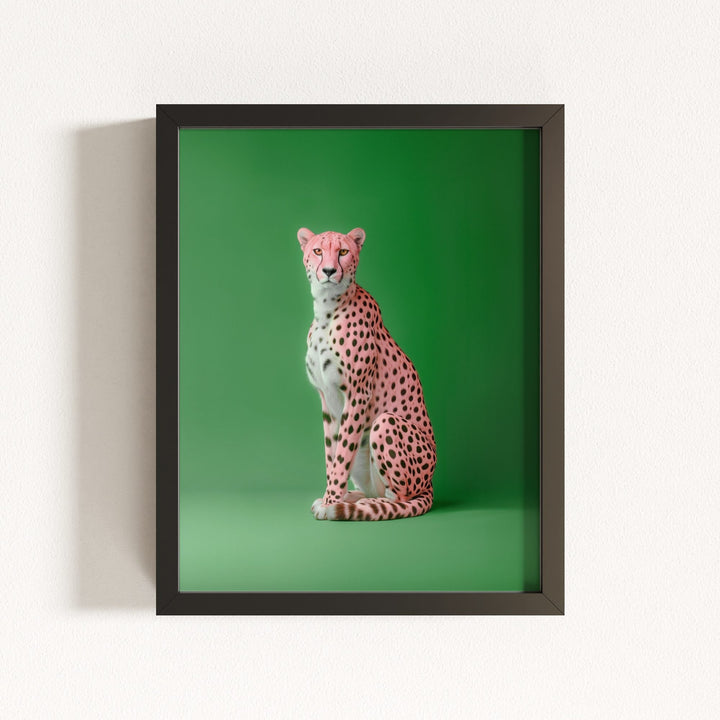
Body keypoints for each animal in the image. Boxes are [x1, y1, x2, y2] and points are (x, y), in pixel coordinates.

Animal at [298, 227, 436, 520]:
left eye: (343, 251)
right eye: (317, 251)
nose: (329, 271)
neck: (327, 309)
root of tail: (430, 484)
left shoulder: (358, 394)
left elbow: (342, 455)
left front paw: (331, 502)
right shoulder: (327, 399)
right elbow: (332, 453)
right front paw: (330, 497)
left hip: (385, 423)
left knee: (400, 498)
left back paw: (361, 505)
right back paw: (352, 498)